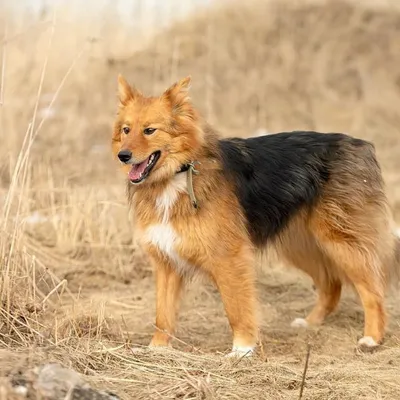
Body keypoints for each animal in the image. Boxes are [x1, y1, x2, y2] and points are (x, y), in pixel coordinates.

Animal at [111, 74, 400, 356]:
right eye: (126, 129)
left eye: (150, 130)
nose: (123, 155)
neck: (178, 174)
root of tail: (360, 144)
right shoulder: (166, 261)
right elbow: (163, 314)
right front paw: (157, 349)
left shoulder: (229, 257)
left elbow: (236, 308)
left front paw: (242, 349)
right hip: (301, 245)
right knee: (331, 285)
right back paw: (311, 322)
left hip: (340, 242)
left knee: (373, 291)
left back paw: (372, 339)